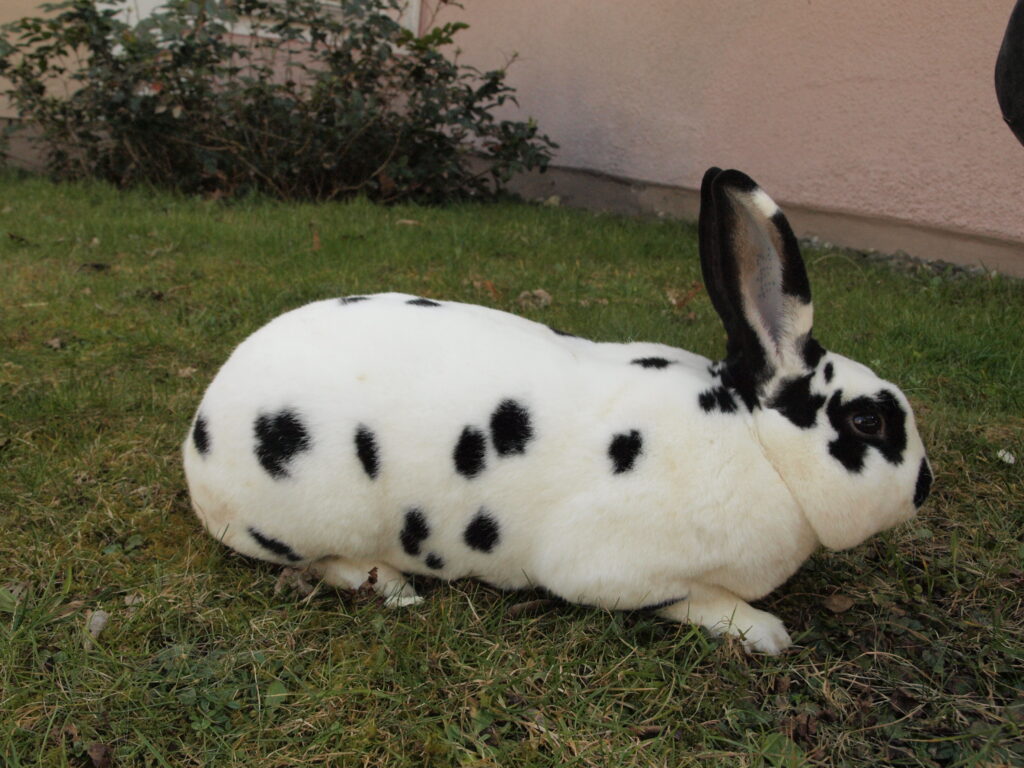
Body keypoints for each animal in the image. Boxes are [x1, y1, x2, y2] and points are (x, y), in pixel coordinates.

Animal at [180, 167, 933, 655]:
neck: (756, 443)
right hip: (318, 519)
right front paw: (765, 633)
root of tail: (200, 435)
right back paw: (395, 589)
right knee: (329, 563)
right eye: (868, 422)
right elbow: (696, 600)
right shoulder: (617, 569)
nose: (925, 485)